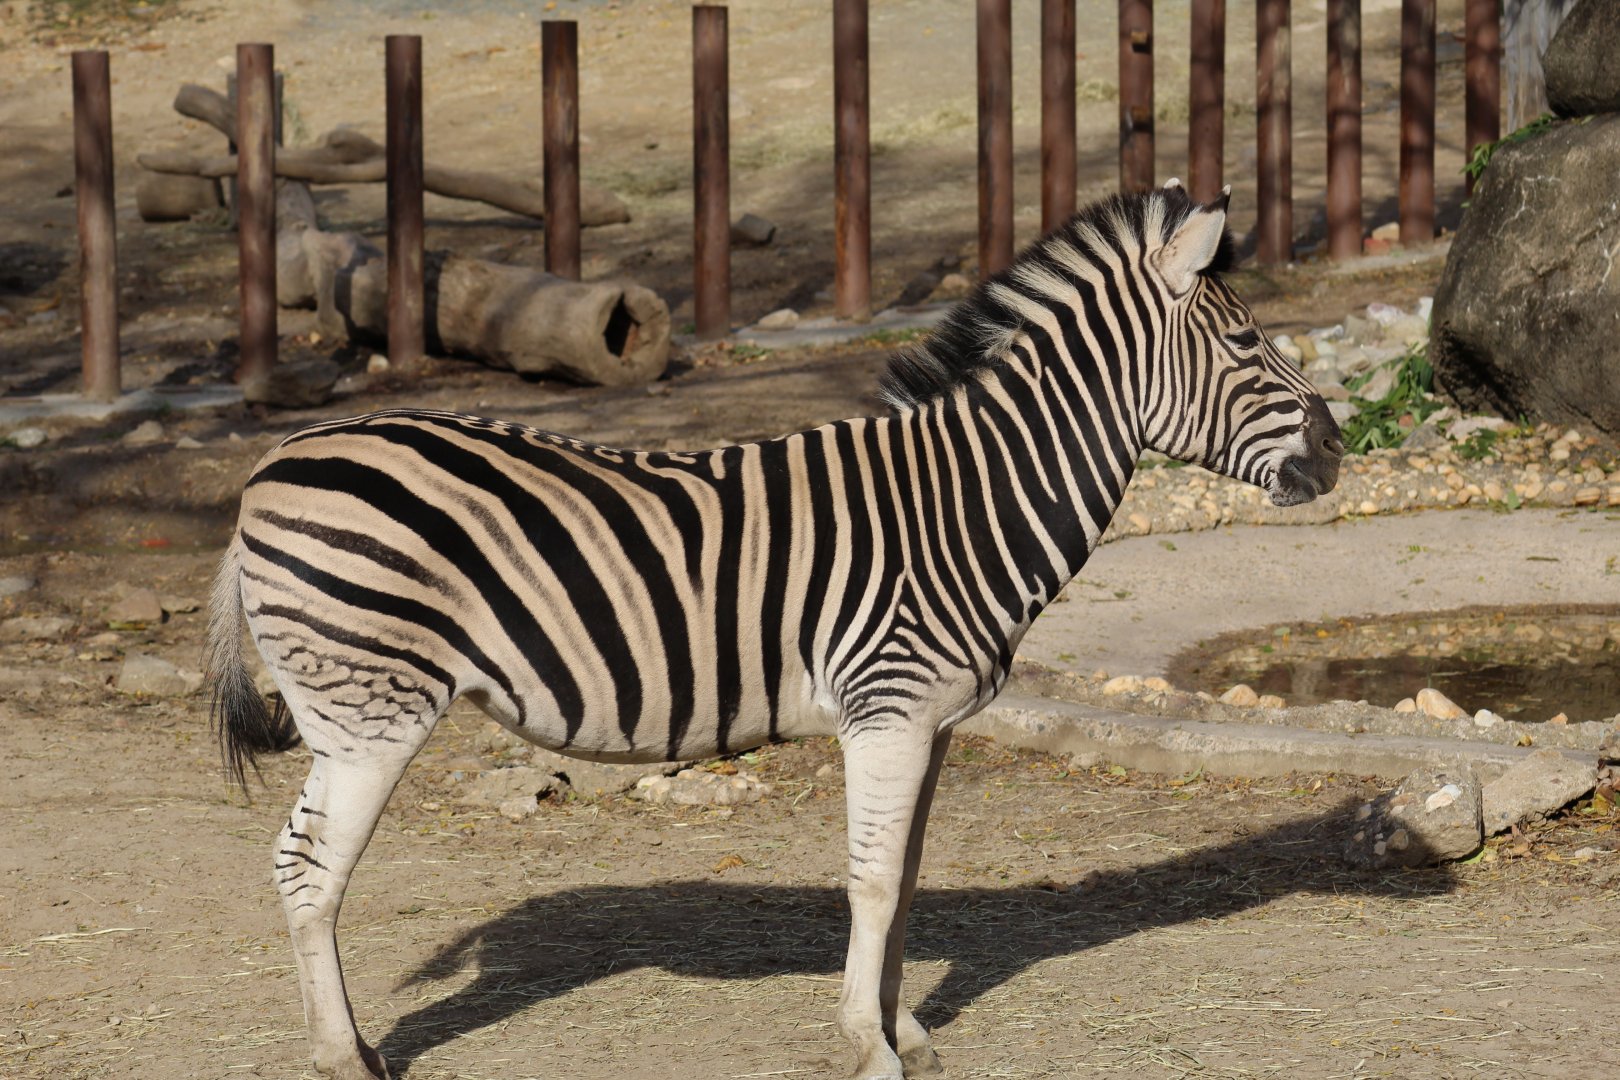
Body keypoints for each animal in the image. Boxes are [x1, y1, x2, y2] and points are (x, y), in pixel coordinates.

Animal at [207, 183, 1342, 1080]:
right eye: (1247, 343)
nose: (1337, 450)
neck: (966, 498)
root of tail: (272, 464)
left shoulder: (933, 723)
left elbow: (907, 878)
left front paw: (905, 1029)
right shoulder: (886, 709)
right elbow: (872, 880)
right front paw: (868, 1048)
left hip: (348, 714)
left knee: (296, 863)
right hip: (372, 712)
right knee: (310, 872)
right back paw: (343, 1061)